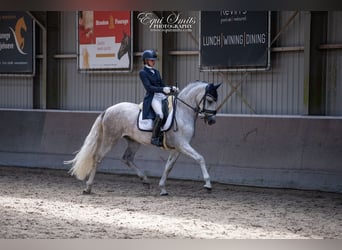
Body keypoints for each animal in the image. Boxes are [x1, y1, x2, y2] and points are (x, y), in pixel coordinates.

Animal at [65, 81, 220, 194]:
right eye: (210, 100)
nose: (212, 121)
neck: (182, 112)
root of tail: (108, 110)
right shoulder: (182, 145)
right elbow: (200, 158)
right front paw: (208, 184)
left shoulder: (177, 148)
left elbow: (168, 167)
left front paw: (162, 188)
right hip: (111, 138)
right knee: (97, 157)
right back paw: (88, 187)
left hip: (133, 141)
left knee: (127, 158)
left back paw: (145, 180)